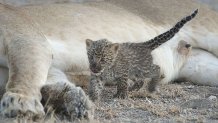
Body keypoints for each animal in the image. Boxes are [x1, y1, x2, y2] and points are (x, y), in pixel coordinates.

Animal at [0, 0, 217, 121]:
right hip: (201, 66)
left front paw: (19, 103)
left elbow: (23, 72)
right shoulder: (51, 66)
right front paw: (77, 101)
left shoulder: (27, 38)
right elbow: (50, 85)